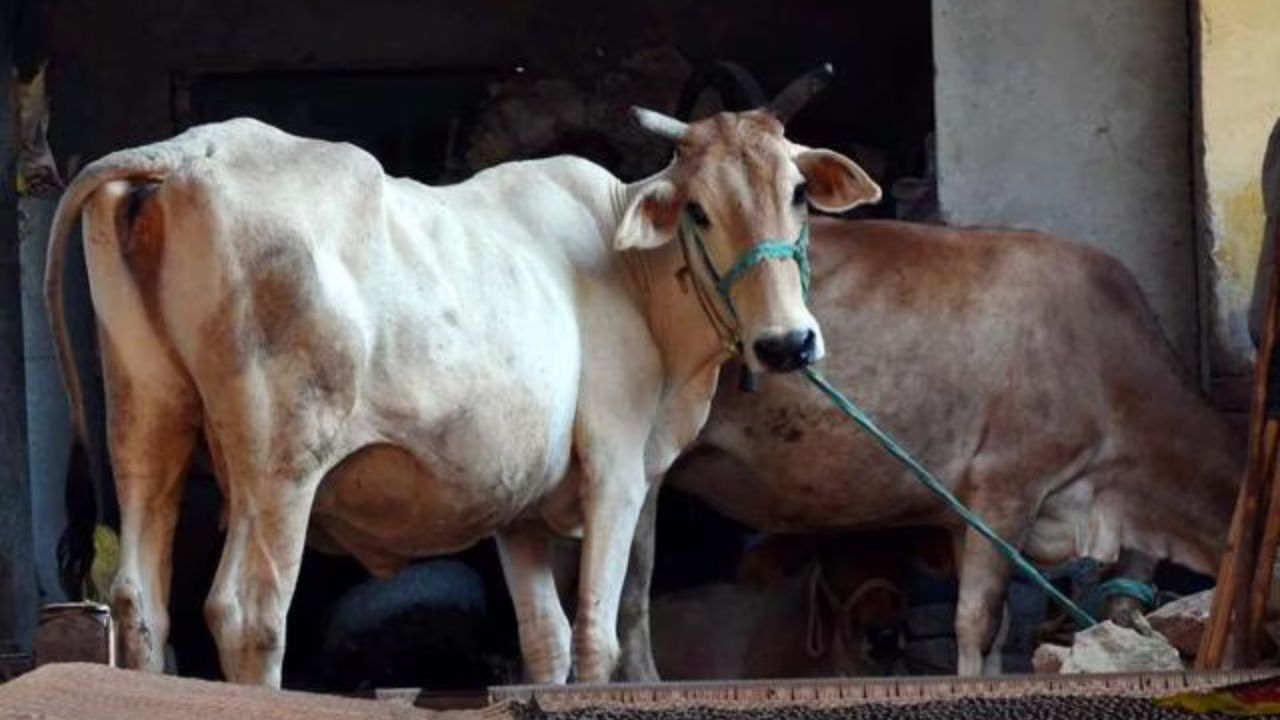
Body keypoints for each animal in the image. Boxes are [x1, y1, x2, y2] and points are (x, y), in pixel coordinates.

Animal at [44, 67, 882, 686]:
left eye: (797, 193)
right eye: (700, 210)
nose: (787, 344)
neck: (631, 273)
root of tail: (189, 152)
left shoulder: (518, 511)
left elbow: (545, 643)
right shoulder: (615, 468)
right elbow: (598, 638)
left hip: (147, 420)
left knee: (140, 604)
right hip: (280, 461)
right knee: (250, 613)